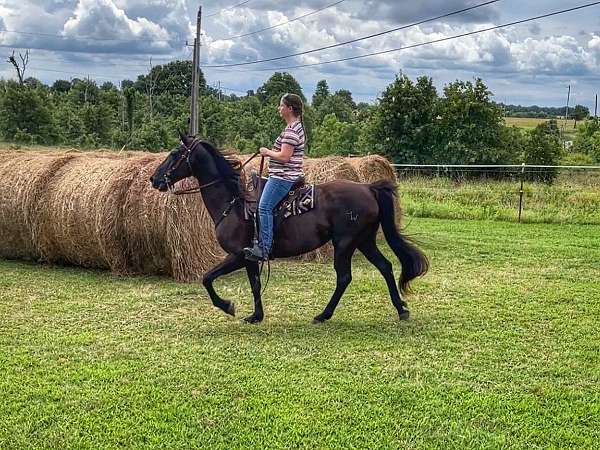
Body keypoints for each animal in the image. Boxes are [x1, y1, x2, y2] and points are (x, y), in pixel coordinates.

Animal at [150, 134, 428, 324]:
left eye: (175, 153)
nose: (154, 179)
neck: (234, 202)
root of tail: (368, 187)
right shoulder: (250, 258)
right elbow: (255, 285)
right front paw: (256, 316)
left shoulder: (238, 255)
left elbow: (207, 278)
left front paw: (228, 306)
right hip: (365, 241)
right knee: (385, 267)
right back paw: (401, 309)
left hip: (345, 243)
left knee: (344, 277)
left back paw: (323, 314)